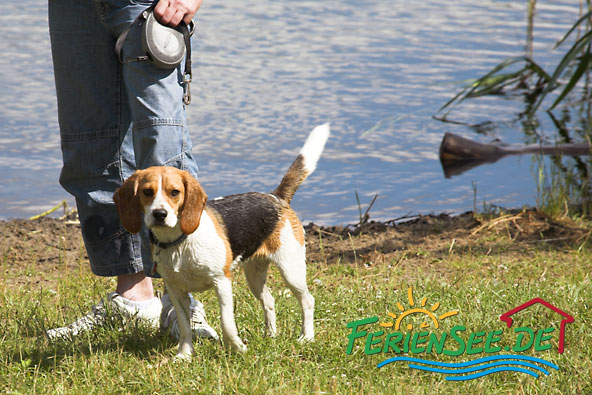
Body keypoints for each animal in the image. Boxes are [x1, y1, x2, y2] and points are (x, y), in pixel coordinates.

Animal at [113, 125, 330, 360]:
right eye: (147, 192)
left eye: (174, 192)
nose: (159, 214)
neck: (180, 243)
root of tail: (275, 197)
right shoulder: (176, 290)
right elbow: (185, 327)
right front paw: (185, 355)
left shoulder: (222, 282)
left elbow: (227, 323)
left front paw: (238, 348)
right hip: (254, 276)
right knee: (269, 301)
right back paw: (270, 335)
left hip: (291, 271)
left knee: (307, 301)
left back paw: (306, 336)